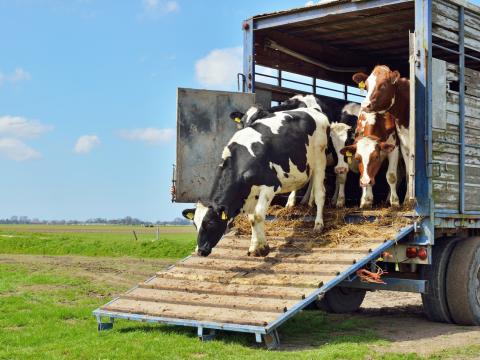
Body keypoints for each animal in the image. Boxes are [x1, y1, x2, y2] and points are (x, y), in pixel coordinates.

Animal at [182, 102, 328, 258]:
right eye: (195, 225)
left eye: (210, 223)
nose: (200, 251)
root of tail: (313, 110)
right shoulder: (250, 193)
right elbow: (251, 218)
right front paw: (254, 247)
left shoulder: (270, 185)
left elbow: (257, 216)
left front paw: (263, 248)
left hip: (320, 158)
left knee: (320, 193)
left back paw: (318, 224)